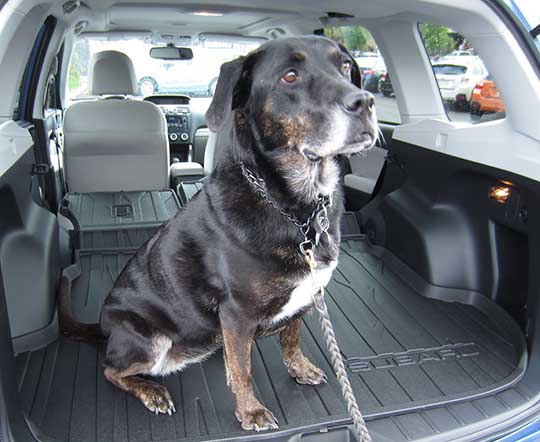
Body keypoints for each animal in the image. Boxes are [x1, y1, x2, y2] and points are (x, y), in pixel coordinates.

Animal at [60, 35, 376, 432]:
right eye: (290, 76)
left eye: (346, 67)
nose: (364, 102)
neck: (295, 207)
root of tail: (103, 327)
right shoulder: (237, 313)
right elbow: (242, 370)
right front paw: (250, 411)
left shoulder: (306, 294)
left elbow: (291, 339)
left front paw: (300, 369)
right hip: (148, 340)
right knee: (110, 370)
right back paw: (152, 391)